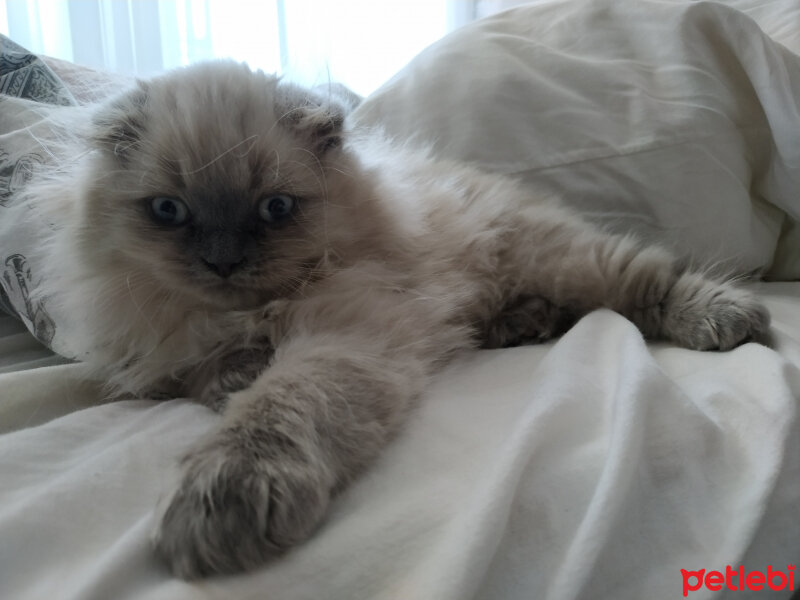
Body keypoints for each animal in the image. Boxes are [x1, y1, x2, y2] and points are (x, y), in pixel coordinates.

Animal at [20, 59, 768, 576]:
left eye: (274, 209)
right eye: (169, 211)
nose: (224, 262)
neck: (249, 314)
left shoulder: (346, 331)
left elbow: (274, 410)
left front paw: (221, 501)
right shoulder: (165, 356)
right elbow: (208, 375)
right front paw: (234, 376)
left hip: (569, 261)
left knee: (653, 279)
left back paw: (725, 315)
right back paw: (520, 325)